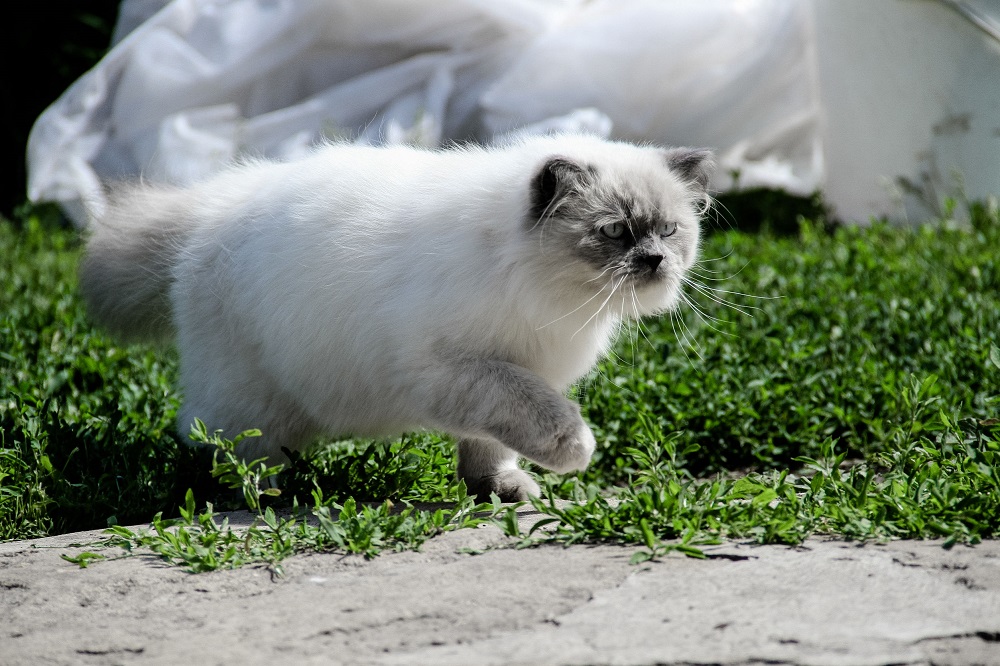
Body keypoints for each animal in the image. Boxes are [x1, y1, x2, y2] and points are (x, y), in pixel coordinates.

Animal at [82, 135, 716, 498]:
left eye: (669, 231)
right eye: (614, 232)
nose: (655, 260)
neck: (549, 295)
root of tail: (212, 202)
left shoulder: (515, 372)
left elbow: (492, 443)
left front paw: (500, 488)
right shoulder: (458, 369)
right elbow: (539, 415)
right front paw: (575, 450)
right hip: (249, 396)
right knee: (219, 441)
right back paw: (264, 494)